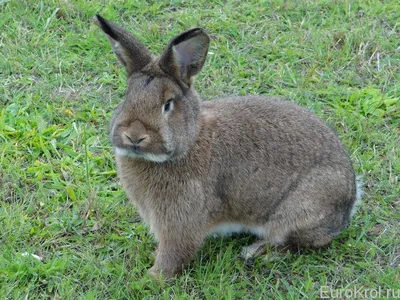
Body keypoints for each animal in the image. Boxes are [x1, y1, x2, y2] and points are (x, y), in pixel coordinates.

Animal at [92, 15, 360, 278]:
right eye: (126, 97)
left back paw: (257, 252)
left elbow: (174, 254)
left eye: (167, 104)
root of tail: (349, 201)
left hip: (297, 212)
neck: (189, 144)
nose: (134, 136)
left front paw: (153, 277)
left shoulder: (180, 223)